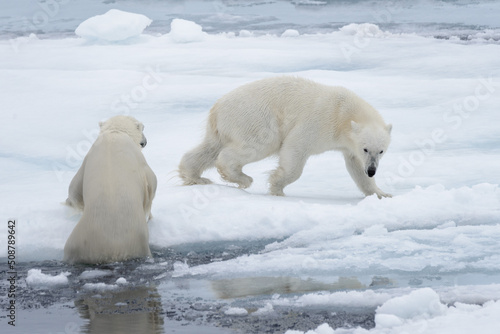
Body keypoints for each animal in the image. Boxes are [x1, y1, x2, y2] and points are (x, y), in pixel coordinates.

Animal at [63, 115, 156, 264]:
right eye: (143, 128)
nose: (145, 141)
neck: (114, 134)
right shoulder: (139, 160)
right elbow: (152, 182)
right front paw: (150, 215)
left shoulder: (88, 156)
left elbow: (75, 186)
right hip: (137, 242)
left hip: (76, 246)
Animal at [178, 76, 392, 198]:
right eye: (366, 148)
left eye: (381, 151)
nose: (372, 170)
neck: (344, 113)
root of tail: (217, 108)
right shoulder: (321, 122)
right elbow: (295, 147)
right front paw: (277, 186)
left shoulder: (349, 146)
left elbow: (355, 167)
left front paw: (382, 193)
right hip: (256, 119)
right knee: (254, 146)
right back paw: (242, 178)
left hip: (221, 129)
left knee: (209, 148)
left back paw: (195, 177)